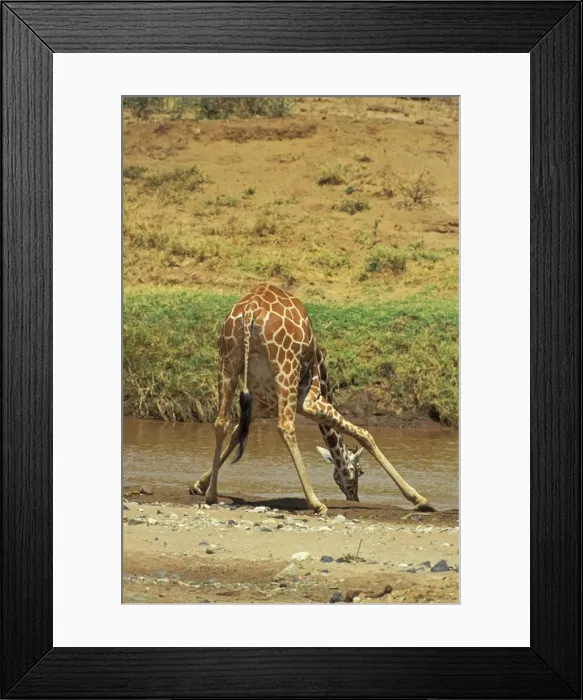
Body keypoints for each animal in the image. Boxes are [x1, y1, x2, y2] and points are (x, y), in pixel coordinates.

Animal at [190, 284, 434, 515]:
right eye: (359, 472)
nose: (353, 498)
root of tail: (251, 309)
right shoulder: (310, 401)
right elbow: (365, 434)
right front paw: (419, 499)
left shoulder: (261, 404)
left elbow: (235, 434)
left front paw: (199, 485)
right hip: (285, 368)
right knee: (286, 426)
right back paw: (316, 503)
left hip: (227, 363)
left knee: (221, 422)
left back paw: (211, 496)